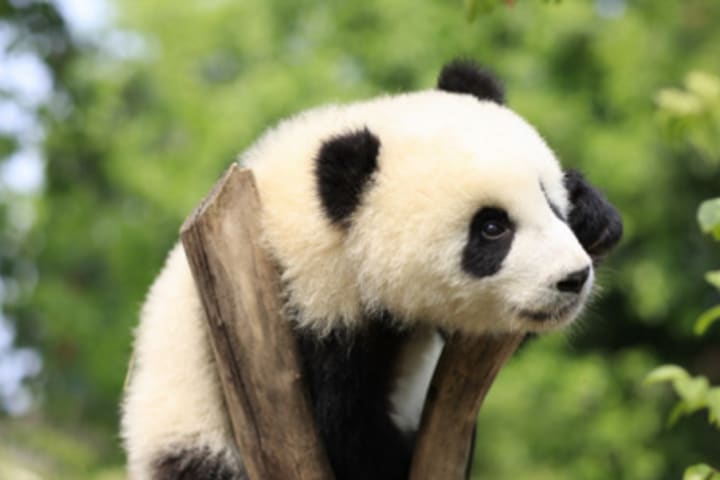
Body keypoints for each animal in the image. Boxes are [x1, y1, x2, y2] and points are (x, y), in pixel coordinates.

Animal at [121, 60, 622, 480]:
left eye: (548, 198)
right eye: (491, 227)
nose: (572, 278)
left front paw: (594, 214)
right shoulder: (302, 304)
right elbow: (343, 429)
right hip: (187, 431)